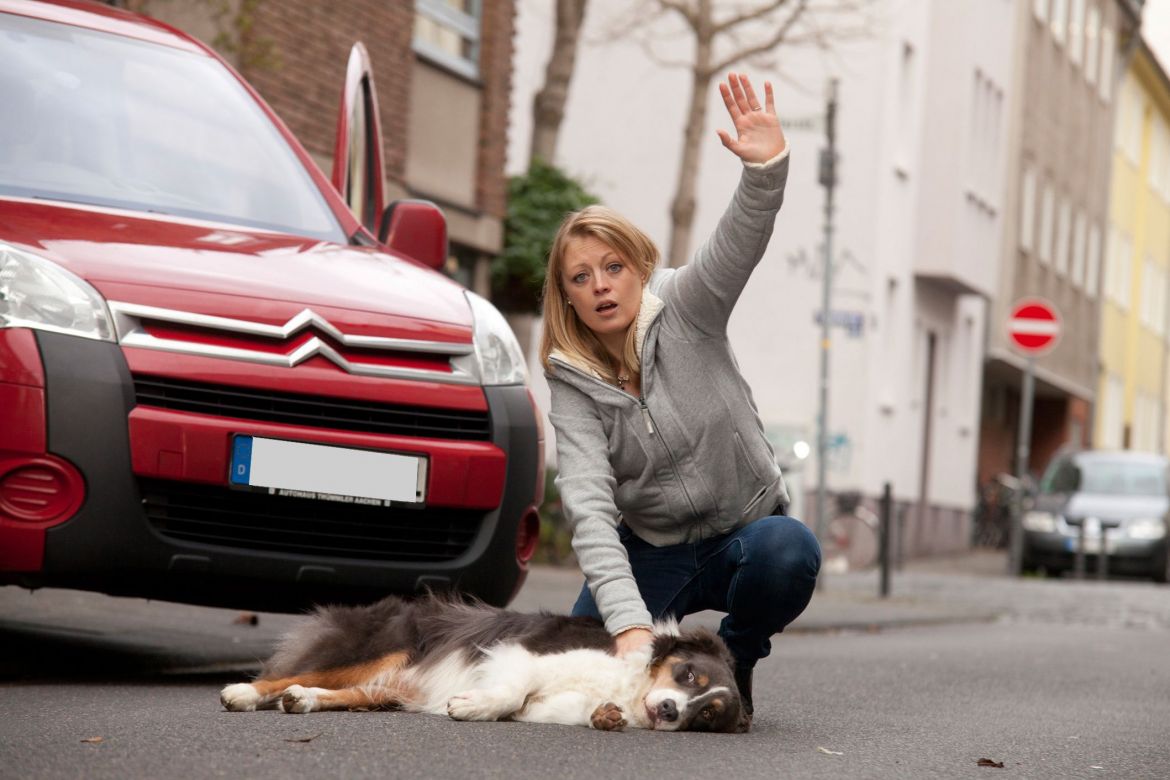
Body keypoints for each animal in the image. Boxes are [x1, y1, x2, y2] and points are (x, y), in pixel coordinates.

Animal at [219, 594, 748, 734]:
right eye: (687, 674)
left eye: (706, 714)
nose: (670, 712)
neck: (629, 686)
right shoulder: (523, 655)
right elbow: (509, 692)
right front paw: (469, 706)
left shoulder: (548, 705)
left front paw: (605, 716)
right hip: (389, 648)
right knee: (292, 672)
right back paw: (242, 693)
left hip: (385, 685)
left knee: (338, 692)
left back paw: (301, 701)